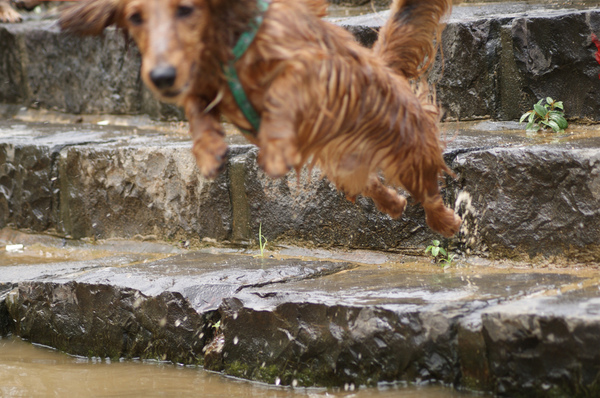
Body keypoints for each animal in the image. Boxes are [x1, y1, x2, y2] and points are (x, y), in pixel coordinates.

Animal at [61, 0, 462, 236]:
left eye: (186, 9)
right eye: (135, 17)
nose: (161, 76)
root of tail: (383, 67)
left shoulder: (308, 64)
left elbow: (284, 93)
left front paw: (275, 146)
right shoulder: (202, 84)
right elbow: (195, 106)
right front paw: (208, 149)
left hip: (410, 146)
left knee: (429, 194)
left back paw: (447, 221)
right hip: (341, 165)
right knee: (371, 184)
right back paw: (393, 203)